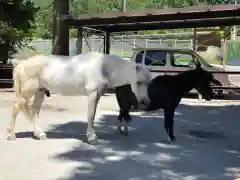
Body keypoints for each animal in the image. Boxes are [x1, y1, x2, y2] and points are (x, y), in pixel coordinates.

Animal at [7, 51, 152, 144]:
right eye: (138, 82)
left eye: (149, 82)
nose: (144, 102)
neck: (103, 68)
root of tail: (21, 64)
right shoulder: (92, 95)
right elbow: (91, 116)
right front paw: (92, 138)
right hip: (27, 92)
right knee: (16, 107)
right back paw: (11, 135)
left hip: (40, 92)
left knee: (34, 110)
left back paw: (40, 134)